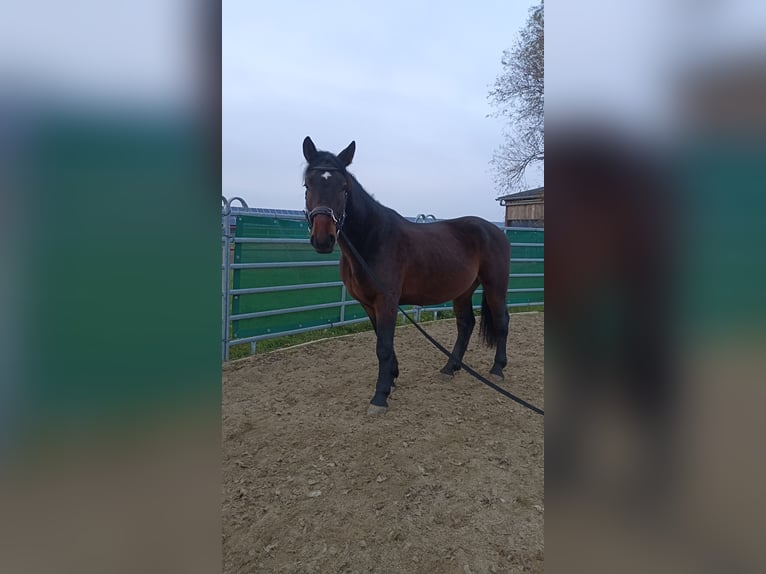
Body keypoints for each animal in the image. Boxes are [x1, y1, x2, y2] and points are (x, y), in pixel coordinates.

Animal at [304, 137, 512, 416]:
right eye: (308, 184)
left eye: (343, 188)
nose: (323, 239)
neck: (373, 239)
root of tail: (495, 230)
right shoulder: (368, 304)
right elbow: (382, 342)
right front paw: (392, 379)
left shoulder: (387, 301)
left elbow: (383, 346)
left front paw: (380, 396)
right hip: (463, 290)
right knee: (466, 324)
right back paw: (450, 368)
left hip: (495, 286)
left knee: (502, 321)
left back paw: (497, 369)